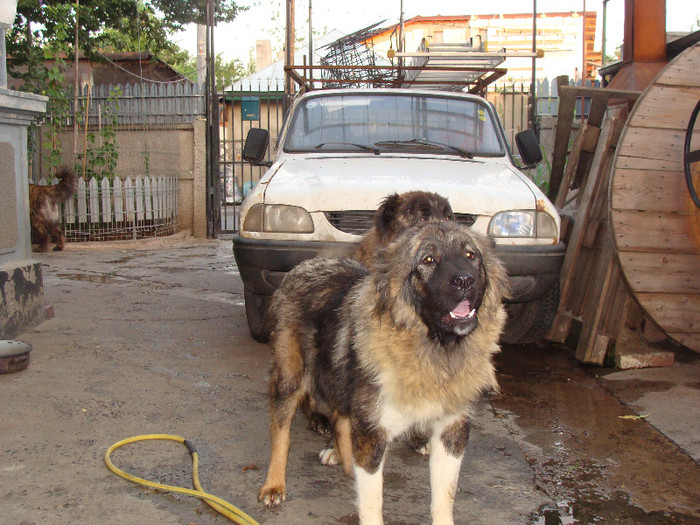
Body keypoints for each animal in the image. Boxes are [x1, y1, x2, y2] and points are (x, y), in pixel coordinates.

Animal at [260, 221, 506, 524]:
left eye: (471, 256)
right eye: (428, 260)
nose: (464, 281)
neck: (434, 349)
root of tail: (306, 265)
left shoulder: (451, 430)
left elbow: (444, 496)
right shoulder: (373, 433)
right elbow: (372, 502)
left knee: (340, 417)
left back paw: (342, 458)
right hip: (290, 378)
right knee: (282, 433)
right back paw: (274, 484)